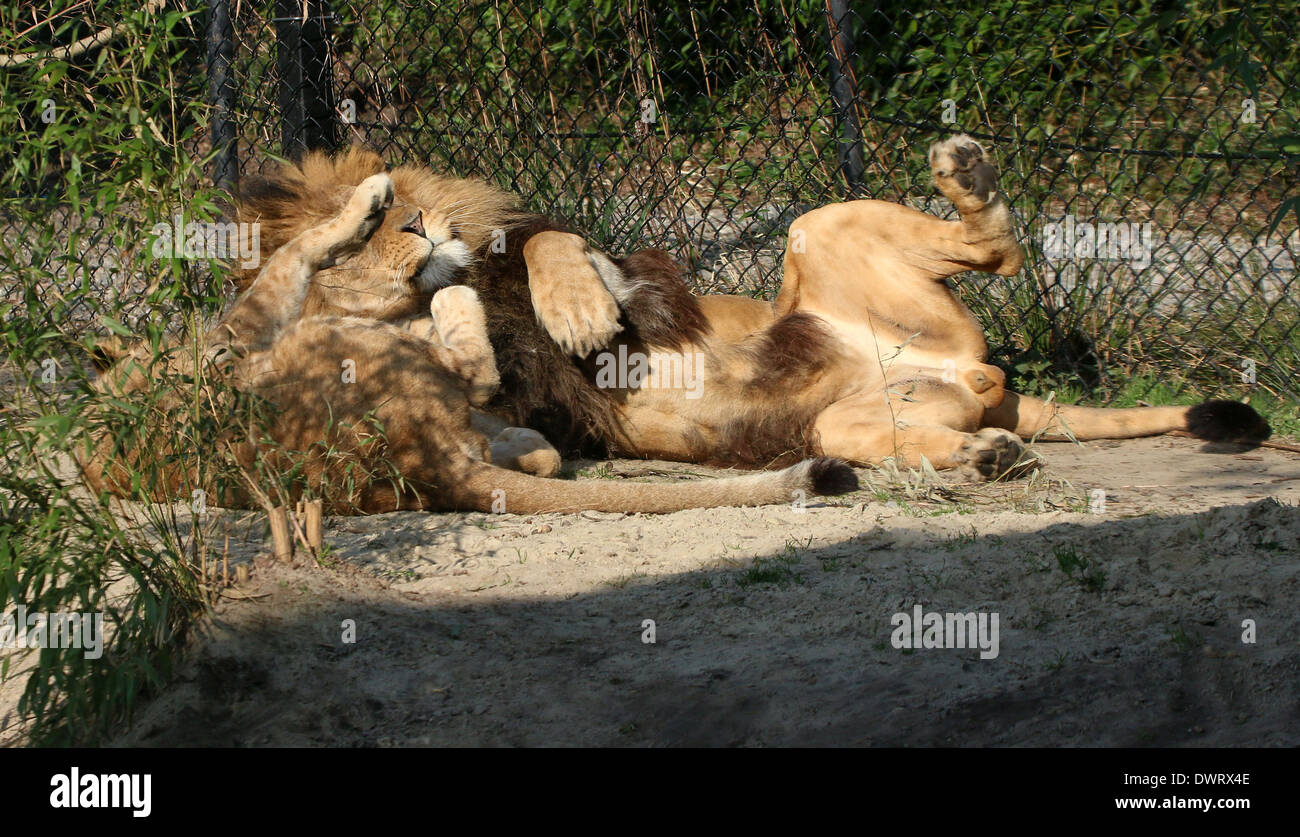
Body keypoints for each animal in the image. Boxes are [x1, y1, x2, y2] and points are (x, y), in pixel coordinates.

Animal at [78, 172, 859, 515]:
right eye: (366, 256)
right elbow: (300, 249)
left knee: (515, 436)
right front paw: (359, 207)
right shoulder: (244, 327)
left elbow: (550, 244)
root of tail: (414, 458)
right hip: (327, 342)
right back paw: (453, 311)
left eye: (409, 212)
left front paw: (577, 306)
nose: (411, 220)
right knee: (472, 371)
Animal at [231, 139, 1270, 483]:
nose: (413, 228)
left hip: (817, 227)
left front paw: (572, 313)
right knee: (924, 427)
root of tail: (980, 376)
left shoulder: (620, 267)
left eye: (388, 207)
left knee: (996, 247)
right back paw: (990, 456)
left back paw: (967, 172)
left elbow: (545, 247)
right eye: (362, 239)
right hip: (852, 419)